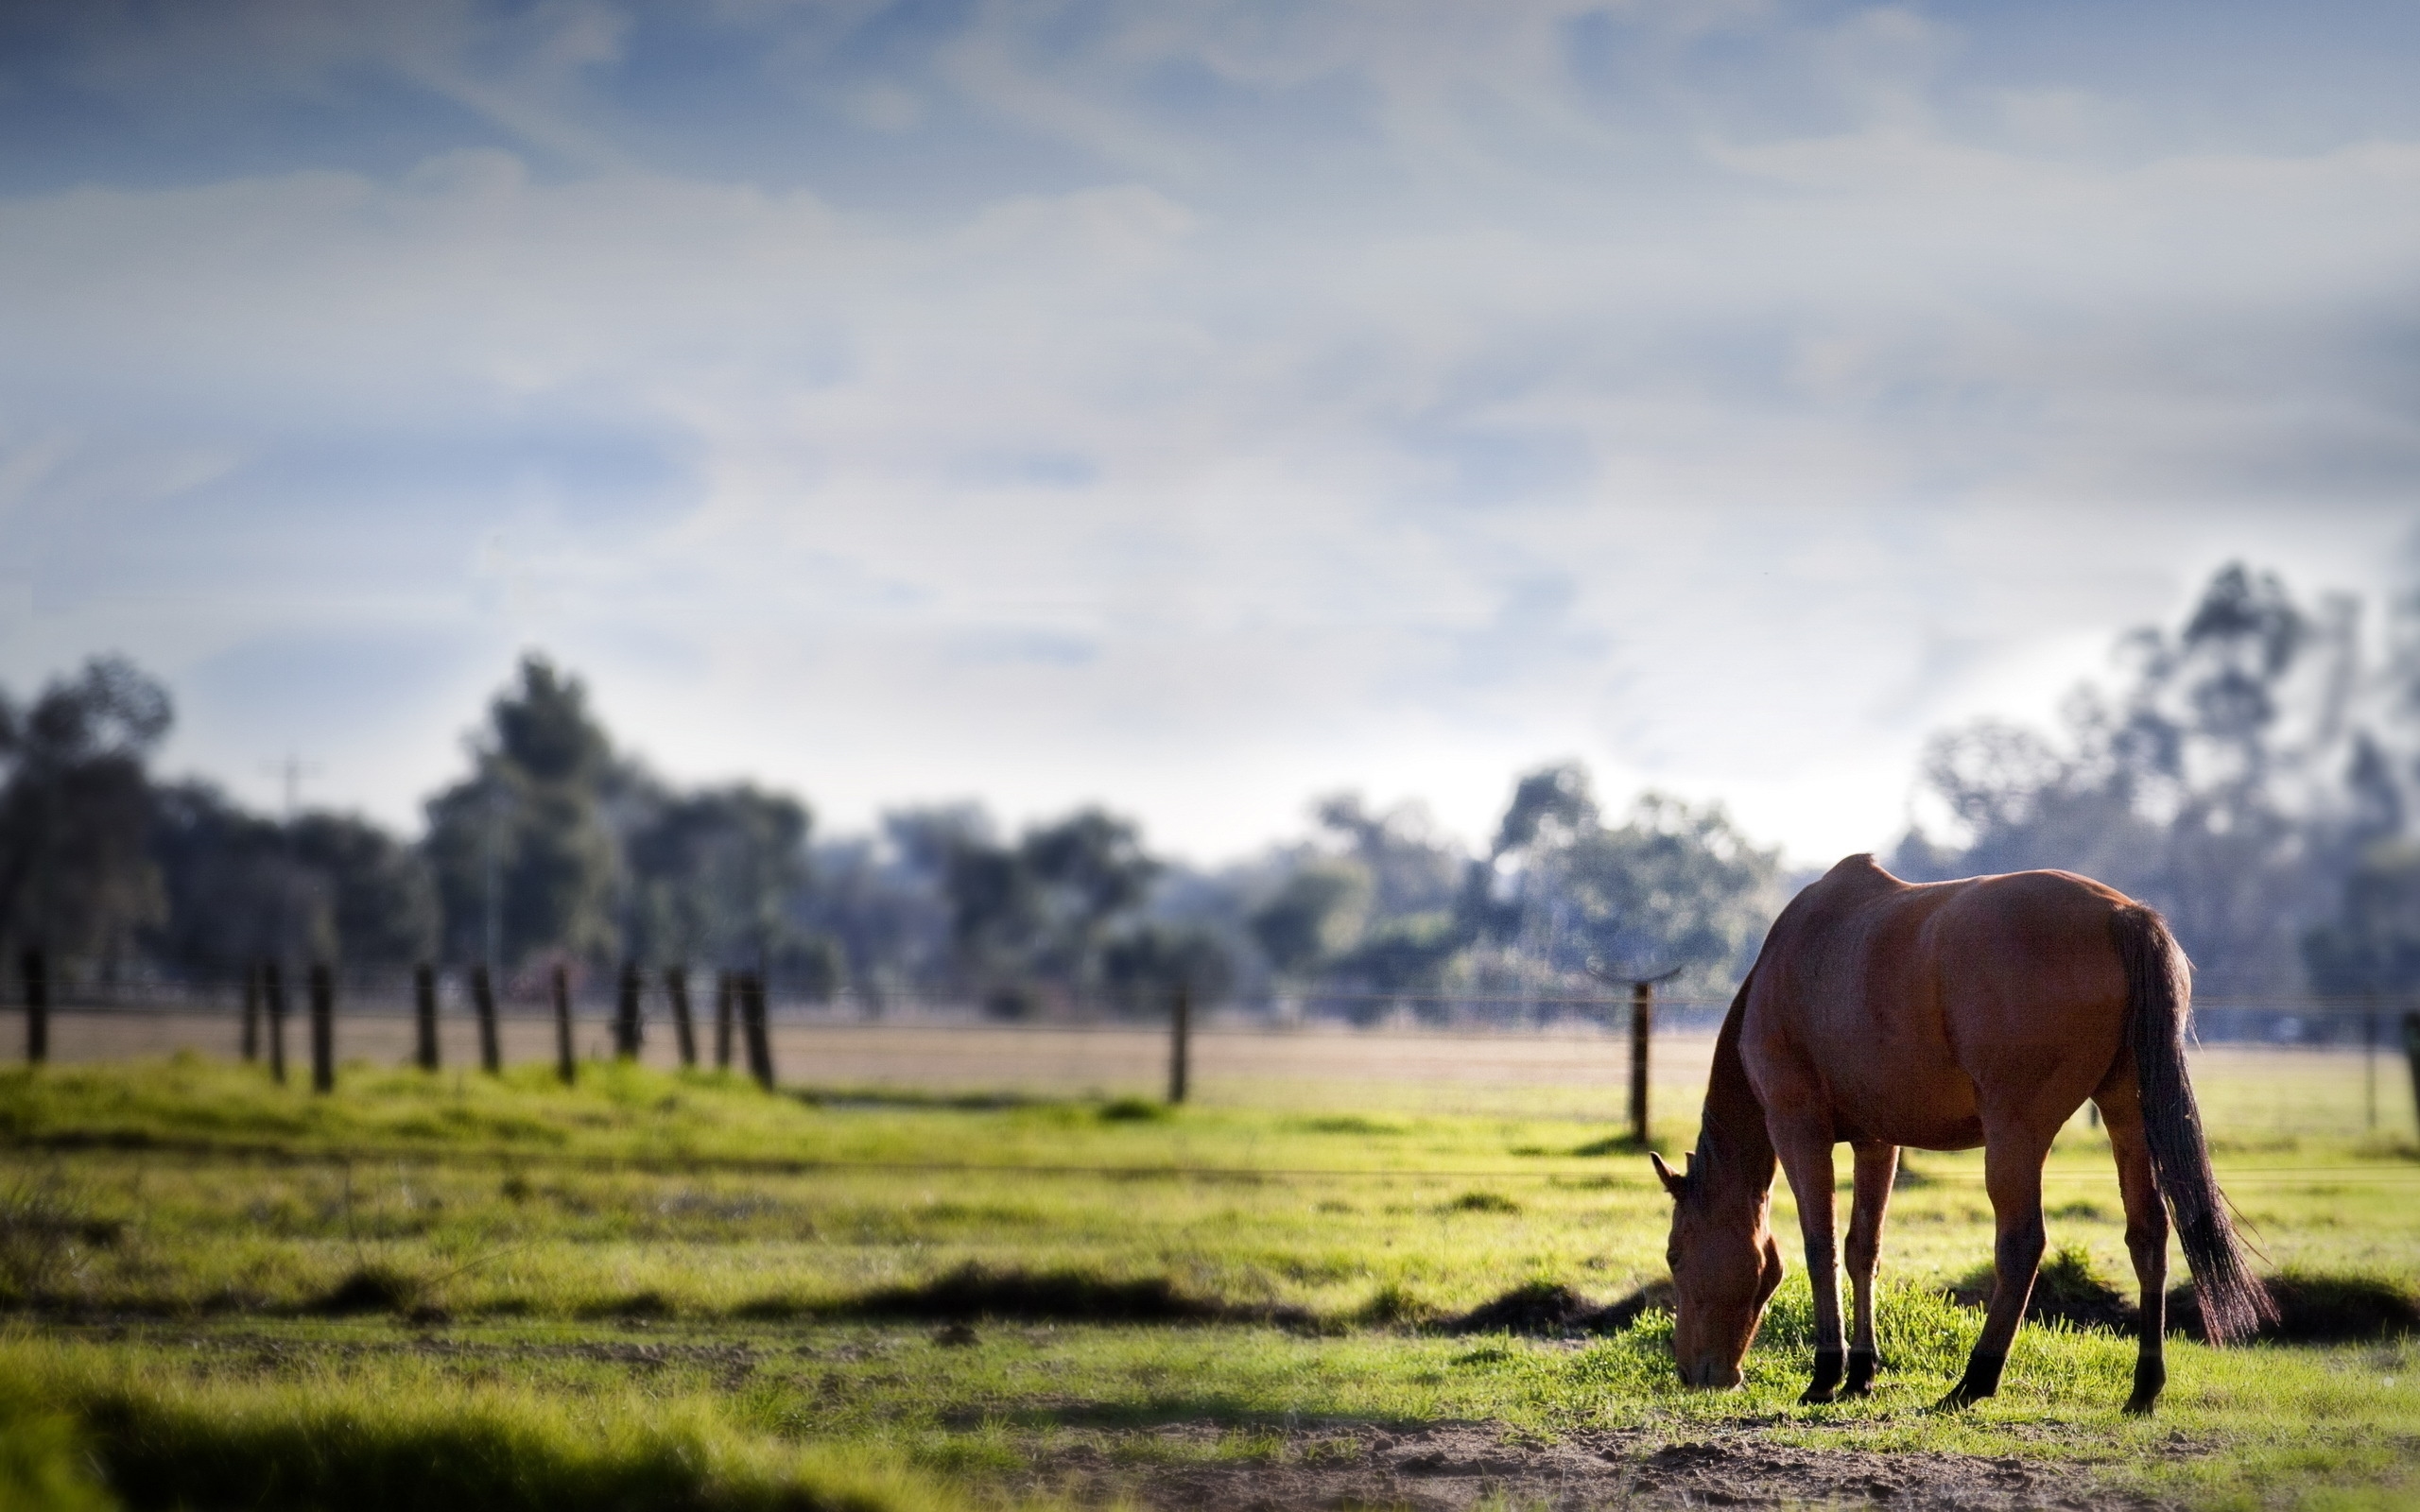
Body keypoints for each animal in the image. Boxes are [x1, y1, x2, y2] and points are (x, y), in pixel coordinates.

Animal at [1655, 856, 2274, 1413]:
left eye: (1675, 1255)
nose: (1692, 1373)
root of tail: (2122, 914)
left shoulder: (1797, 1128)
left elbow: (1820, 1245)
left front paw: (1827, 1374)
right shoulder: (1877, 1142)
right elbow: (1863, 1249)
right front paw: (1861, 1374)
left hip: (2014, 1134)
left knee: (2022, 1244)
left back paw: (1976, 1379)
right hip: (2126, 1113)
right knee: (2147, 1233)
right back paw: (2143, 1387)